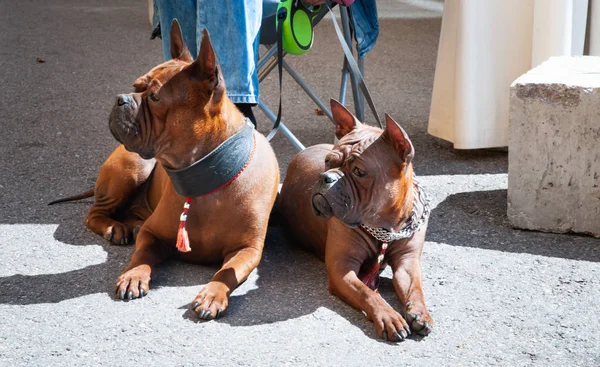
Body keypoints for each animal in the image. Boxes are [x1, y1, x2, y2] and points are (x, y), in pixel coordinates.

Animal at [49, 20, 278, 320]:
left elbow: (226, 273)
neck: (205, 177)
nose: (121, 98)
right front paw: (133, 275)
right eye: (136, 86)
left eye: (155, 97)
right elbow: (142, 255)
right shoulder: (153, 233)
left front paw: (212, 294)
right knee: (95, 213)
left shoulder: (248, 250)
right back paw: (115, 228)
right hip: (132, 168)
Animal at [278, 100, 434, 342]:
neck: (385, 226)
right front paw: (389, 316)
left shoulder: (407, 262)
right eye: (328, 161)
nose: (326, 178)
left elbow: (415, 288)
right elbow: (367, 293)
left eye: (360, 171)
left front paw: (420, 312)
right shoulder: (342, 268)